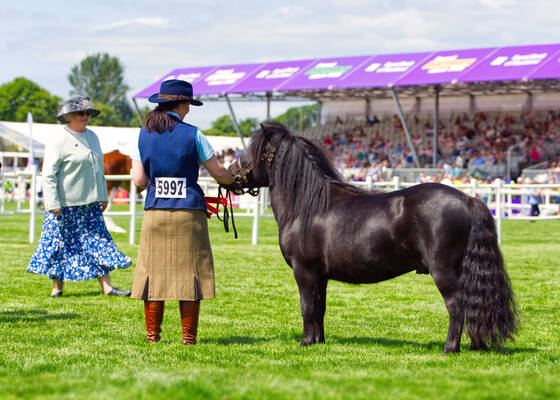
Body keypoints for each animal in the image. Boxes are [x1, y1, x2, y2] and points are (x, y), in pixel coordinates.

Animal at [226, 122, 516, 354]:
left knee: (456, 306)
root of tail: (467, 199)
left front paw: (305, 343)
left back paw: (449, 348)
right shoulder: (321, 275)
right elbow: (319, 308)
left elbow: (306, 307)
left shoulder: (304, 271)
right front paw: (319, 342)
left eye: (250, 152)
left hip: (443, 271)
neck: (308, 206)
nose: (230, 172)